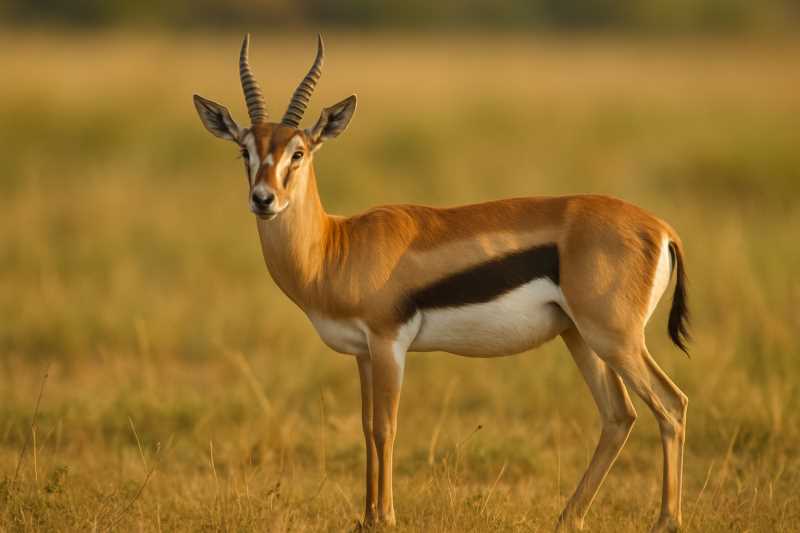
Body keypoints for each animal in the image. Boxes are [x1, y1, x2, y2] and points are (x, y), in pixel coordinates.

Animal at [193, 35, 690, 532]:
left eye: (298, 152)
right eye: (244, 151)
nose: (264, 200)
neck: (336, 246)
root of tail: (664, 229)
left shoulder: (389, 343)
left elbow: (386, 428)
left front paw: (386, 517)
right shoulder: (363, 353)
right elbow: (366, 427)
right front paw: (367, 517)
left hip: (615, 340)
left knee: (671, 404)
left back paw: (667, 519)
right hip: (581, 337)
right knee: (619, 415)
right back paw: (568, 516)